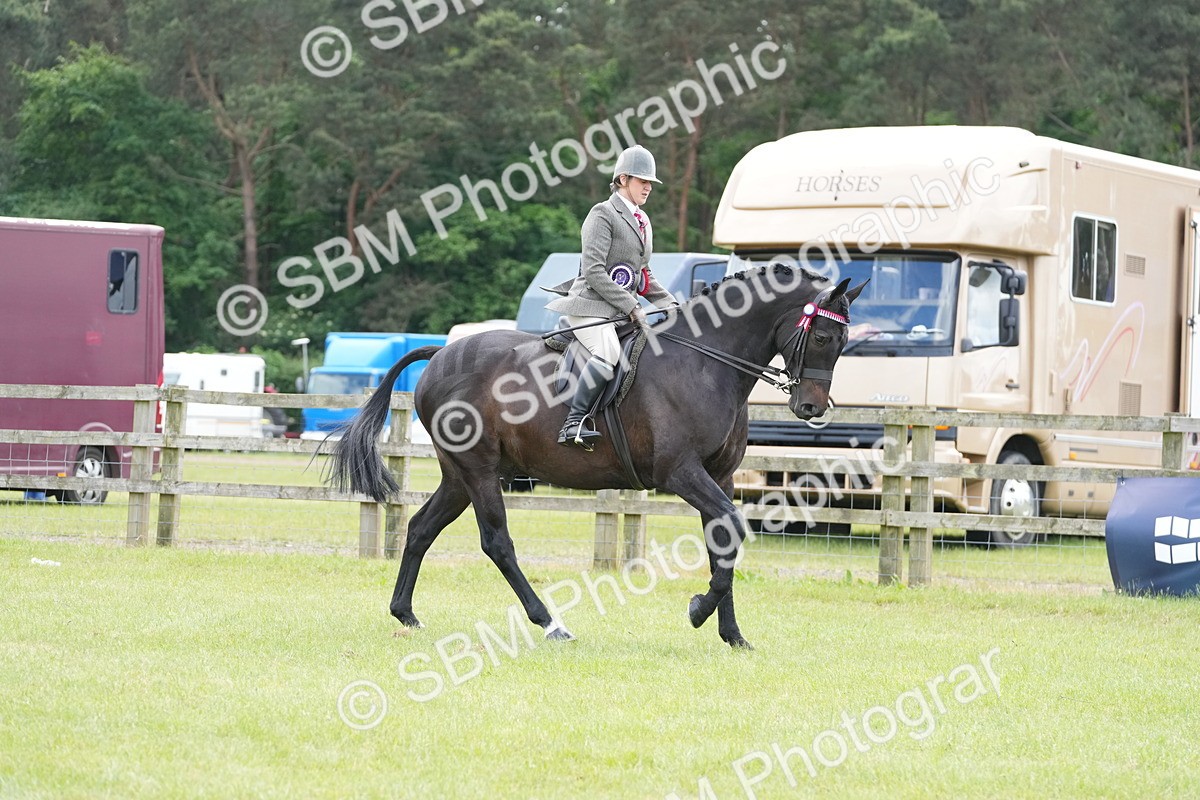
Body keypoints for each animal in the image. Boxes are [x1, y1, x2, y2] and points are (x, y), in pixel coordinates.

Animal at [330, 265, 865, 648]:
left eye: (843, 342)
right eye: (822, 337)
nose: (811, 408)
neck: (705, 362)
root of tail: (440, 354)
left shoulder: (721, 476)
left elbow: (724, 541)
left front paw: (731, 634)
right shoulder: (681, 474)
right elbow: (730, 529)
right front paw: (698, 609)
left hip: (459, 476)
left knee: (421, 528)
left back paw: (405, 613)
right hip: (479, 473)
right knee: (497, 543)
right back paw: (550, 623)